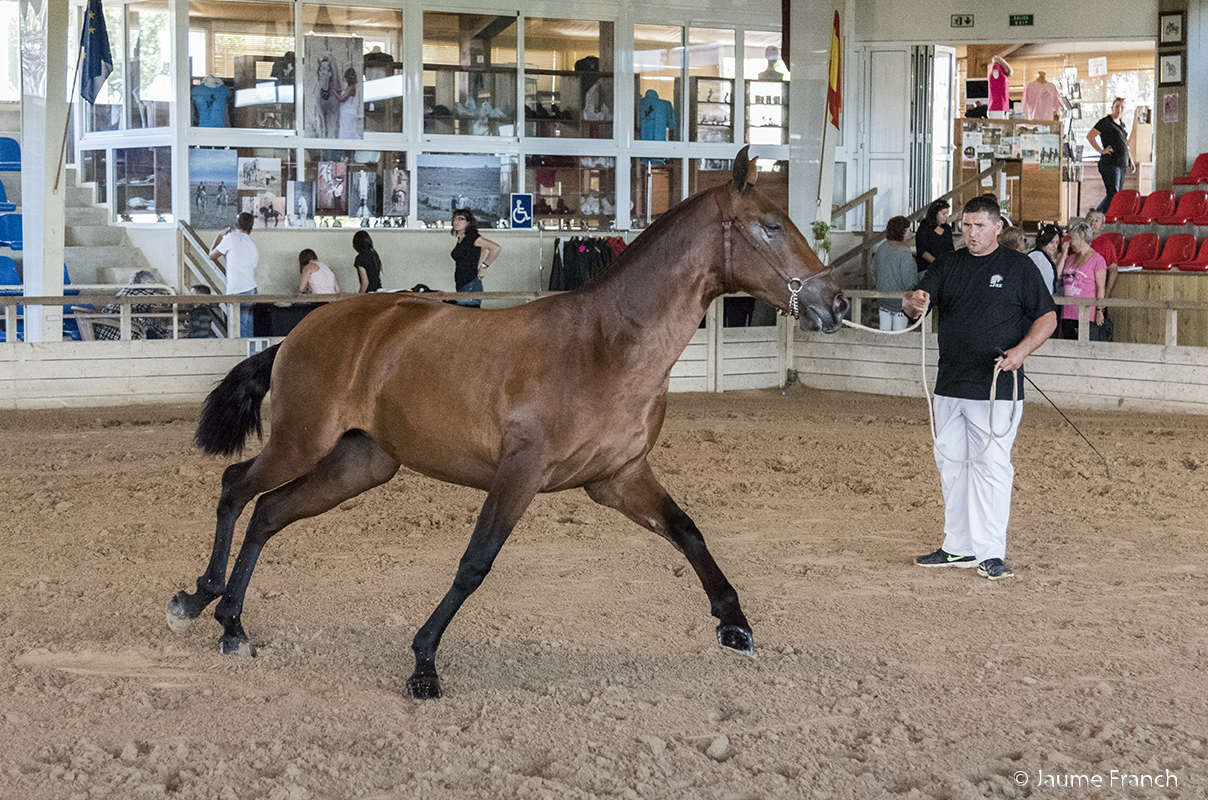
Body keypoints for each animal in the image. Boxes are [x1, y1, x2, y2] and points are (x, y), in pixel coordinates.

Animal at [167, 147, 850, 700]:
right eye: (770, 226)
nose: (835, 303)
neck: (606, 345)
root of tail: (300, 332)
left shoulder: (619, 477)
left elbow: (688, 532)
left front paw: (735, 625)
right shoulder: (520, 473)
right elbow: (475, 564)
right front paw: (424, 665)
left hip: (357, 464)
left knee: (268, 513)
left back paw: (231, 621)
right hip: (301, 443)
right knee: (235, 487)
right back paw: (198, 598)